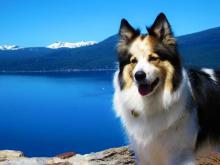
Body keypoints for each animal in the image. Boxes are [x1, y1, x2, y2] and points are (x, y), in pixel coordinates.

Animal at [113, 13, 220, 165]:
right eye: (133, 61)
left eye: (153, 58)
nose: (139, 75)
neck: (150, 103)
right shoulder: (145, 154)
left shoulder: (179, 155)